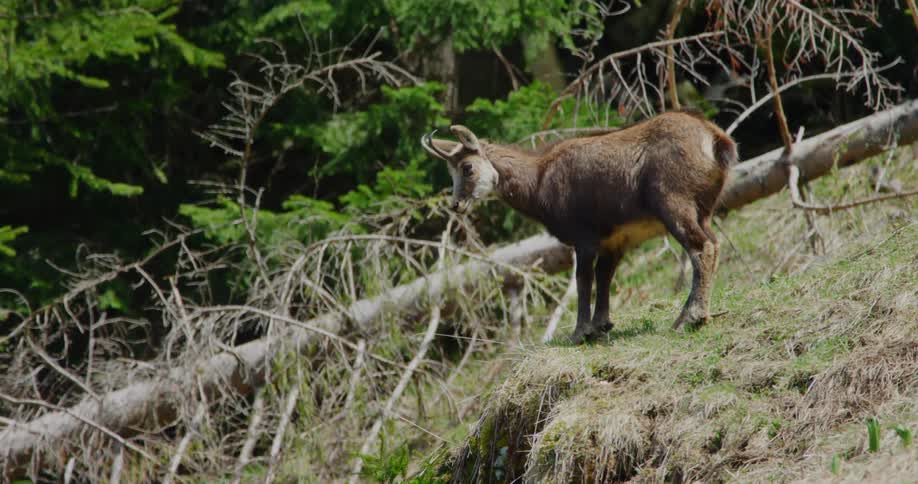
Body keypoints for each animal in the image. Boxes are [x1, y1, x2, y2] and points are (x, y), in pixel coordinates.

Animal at [422, 111, 738, 344]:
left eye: (467, 168)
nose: (456, 205)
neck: (539, 179)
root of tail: (714, 138)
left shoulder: (583, 238)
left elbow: (583, 279)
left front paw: (580, 332)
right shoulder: (614, 240)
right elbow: (604, 276)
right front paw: (601, 325)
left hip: (675, 204)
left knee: (701, 247)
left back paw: (689, 318)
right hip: (703, 211)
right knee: (714, 243)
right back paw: (701, 313)